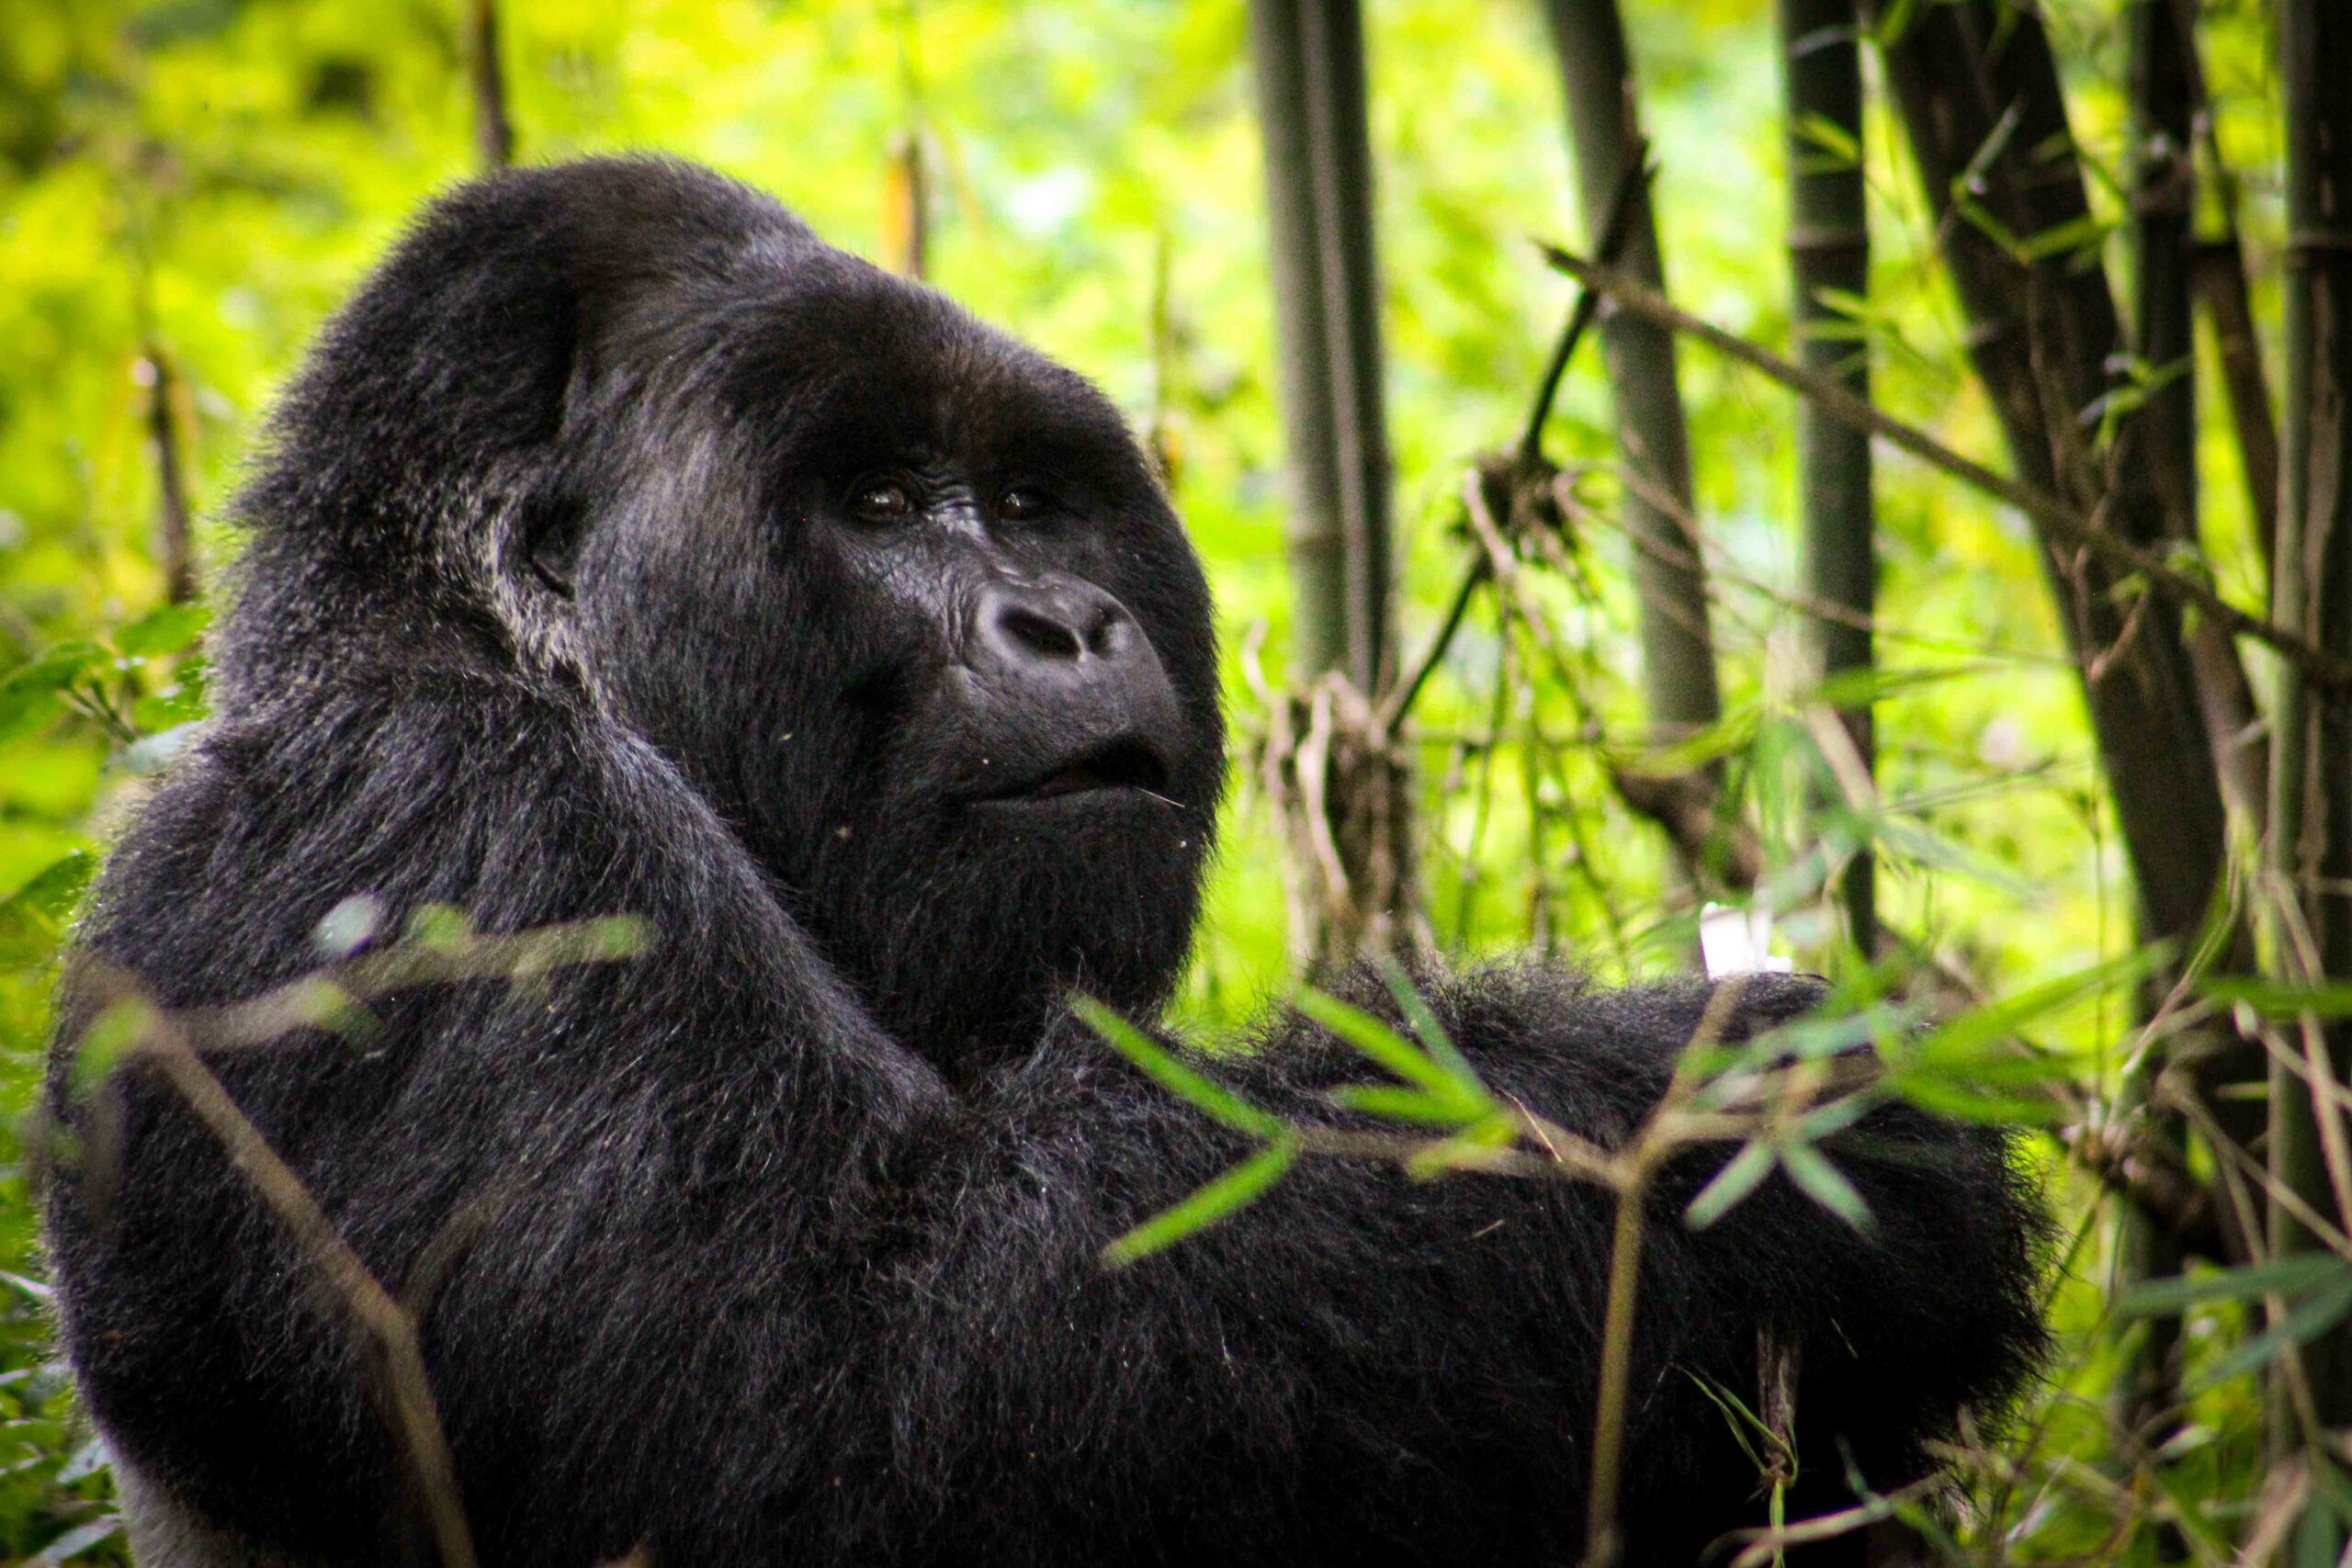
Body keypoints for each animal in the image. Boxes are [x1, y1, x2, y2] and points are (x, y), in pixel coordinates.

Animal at [45, 162, 2051, 1568]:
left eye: (1025, 502)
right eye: (872, 505)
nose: (1064, 620)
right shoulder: (430, 820)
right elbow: (841, 1421)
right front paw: (1736, 1127)